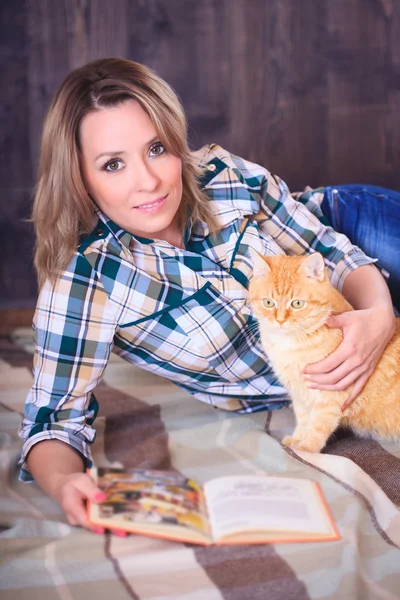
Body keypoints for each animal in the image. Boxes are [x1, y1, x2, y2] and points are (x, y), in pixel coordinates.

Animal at [247, 251, 400, 452]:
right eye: (268, 302)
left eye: (297, 303)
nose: (280, 320)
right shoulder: (299, 395)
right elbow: (303, 421)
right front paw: (295, 441)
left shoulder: (329, 398)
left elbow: (316, 429)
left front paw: (303, 450)